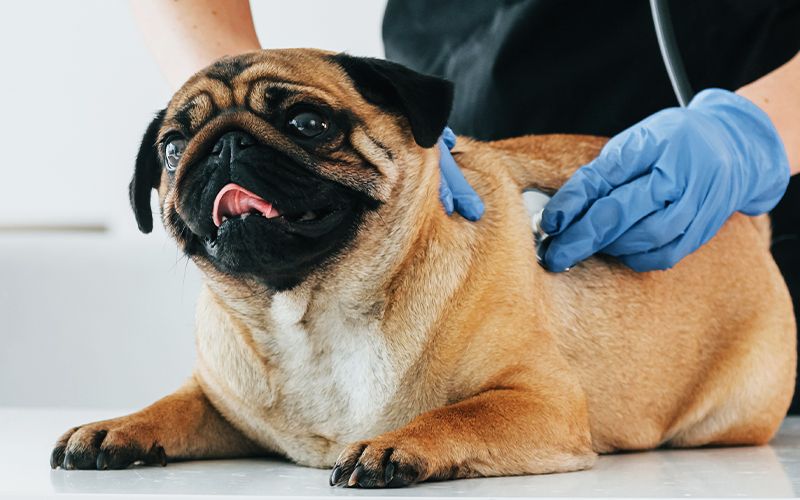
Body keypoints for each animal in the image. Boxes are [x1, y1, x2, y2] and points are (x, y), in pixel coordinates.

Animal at [50, 47, 792, 488]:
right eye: (173, 148)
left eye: (309, 123)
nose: (223, 145)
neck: (313, 314)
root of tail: (747, 225)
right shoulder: (221, 403)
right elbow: (172, 405)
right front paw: (117, 427)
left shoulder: (540, 401)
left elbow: (459, 416)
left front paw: (393, 445)